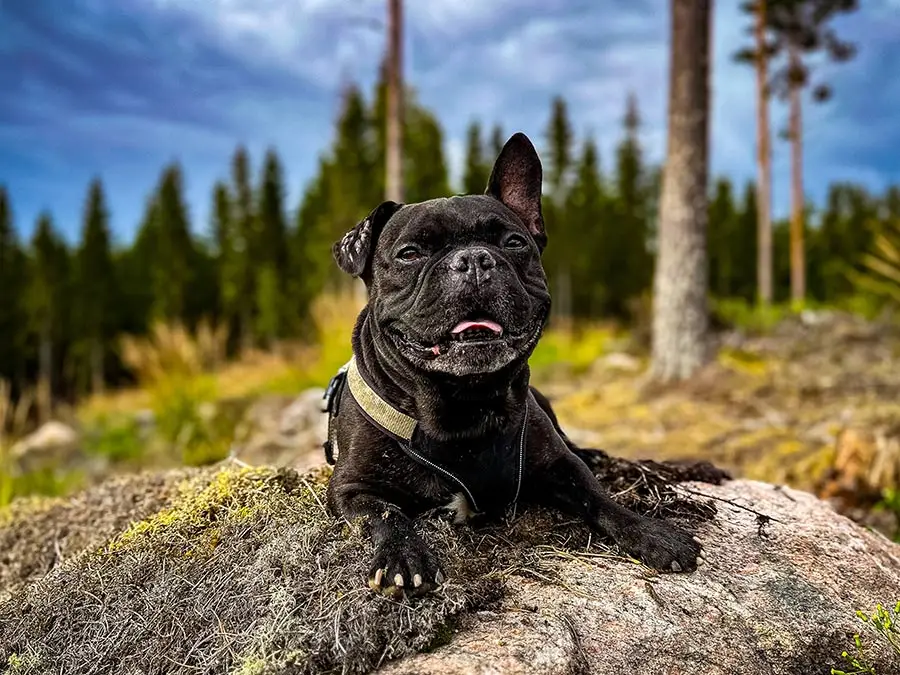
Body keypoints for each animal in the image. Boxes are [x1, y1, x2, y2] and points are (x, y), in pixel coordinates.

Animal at [326, 132, 704, 596]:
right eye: (410, 253)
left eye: (513, 243)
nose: (472, 259)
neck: (465, 405)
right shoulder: (351, 488)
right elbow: (386, 515)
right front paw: (404, 555)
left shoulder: (560, 465)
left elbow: (598, 497)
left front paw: (650, 533)